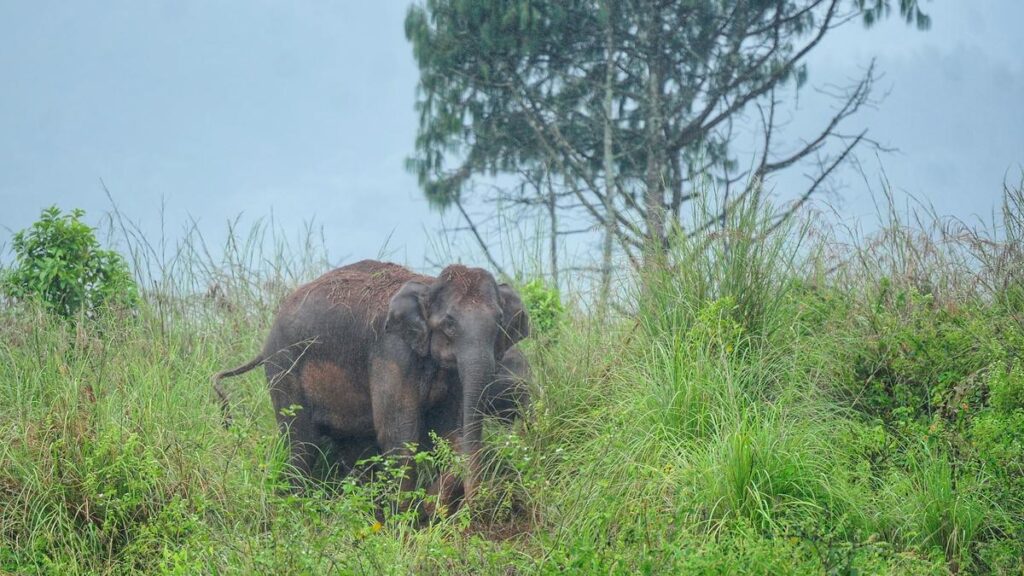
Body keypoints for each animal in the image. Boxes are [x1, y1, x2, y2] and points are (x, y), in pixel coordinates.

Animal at [207, 258, 528, 504]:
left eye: (500, 321)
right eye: (449, 323)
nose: (477, 505)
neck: (426, 285)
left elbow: (450, 431)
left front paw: (433, 503)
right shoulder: (391, 351)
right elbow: (399, 434)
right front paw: (406, 522)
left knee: (352, 446)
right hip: (284, 366)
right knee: (301, 443)